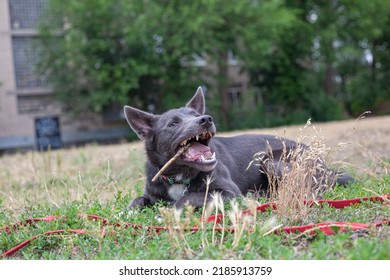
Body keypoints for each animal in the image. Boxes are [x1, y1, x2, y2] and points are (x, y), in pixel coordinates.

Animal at [123, 87, 352, 210]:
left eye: (196, 115)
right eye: (173, 123)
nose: (206, 119)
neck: (179, 175)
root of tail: (323, 162)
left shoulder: (228, 193)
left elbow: (190, 197)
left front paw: (174, 208)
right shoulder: (152, 194)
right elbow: (138, 199)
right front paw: (128, 211)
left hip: (270, 160)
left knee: (308, 190)